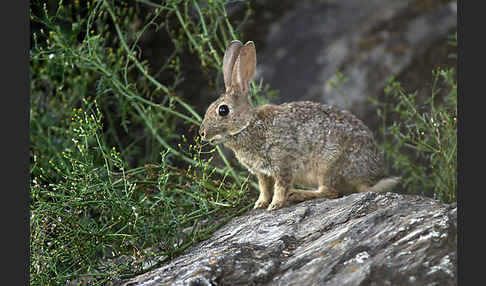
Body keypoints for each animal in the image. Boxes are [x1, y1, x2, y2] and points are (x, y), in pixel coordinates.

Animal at [198, 40, 398, 210]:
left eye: (223, 110)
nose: (202, 133)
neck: (248, 125)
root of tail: (372, 178)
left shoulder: (283, 162)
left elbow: (281, 187)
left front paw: (275, 205)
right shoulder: (263, 173)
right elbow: (264, 188)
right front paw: (260, 204)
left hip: (330, 166)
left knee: (330, 192)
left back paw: (298, 194)